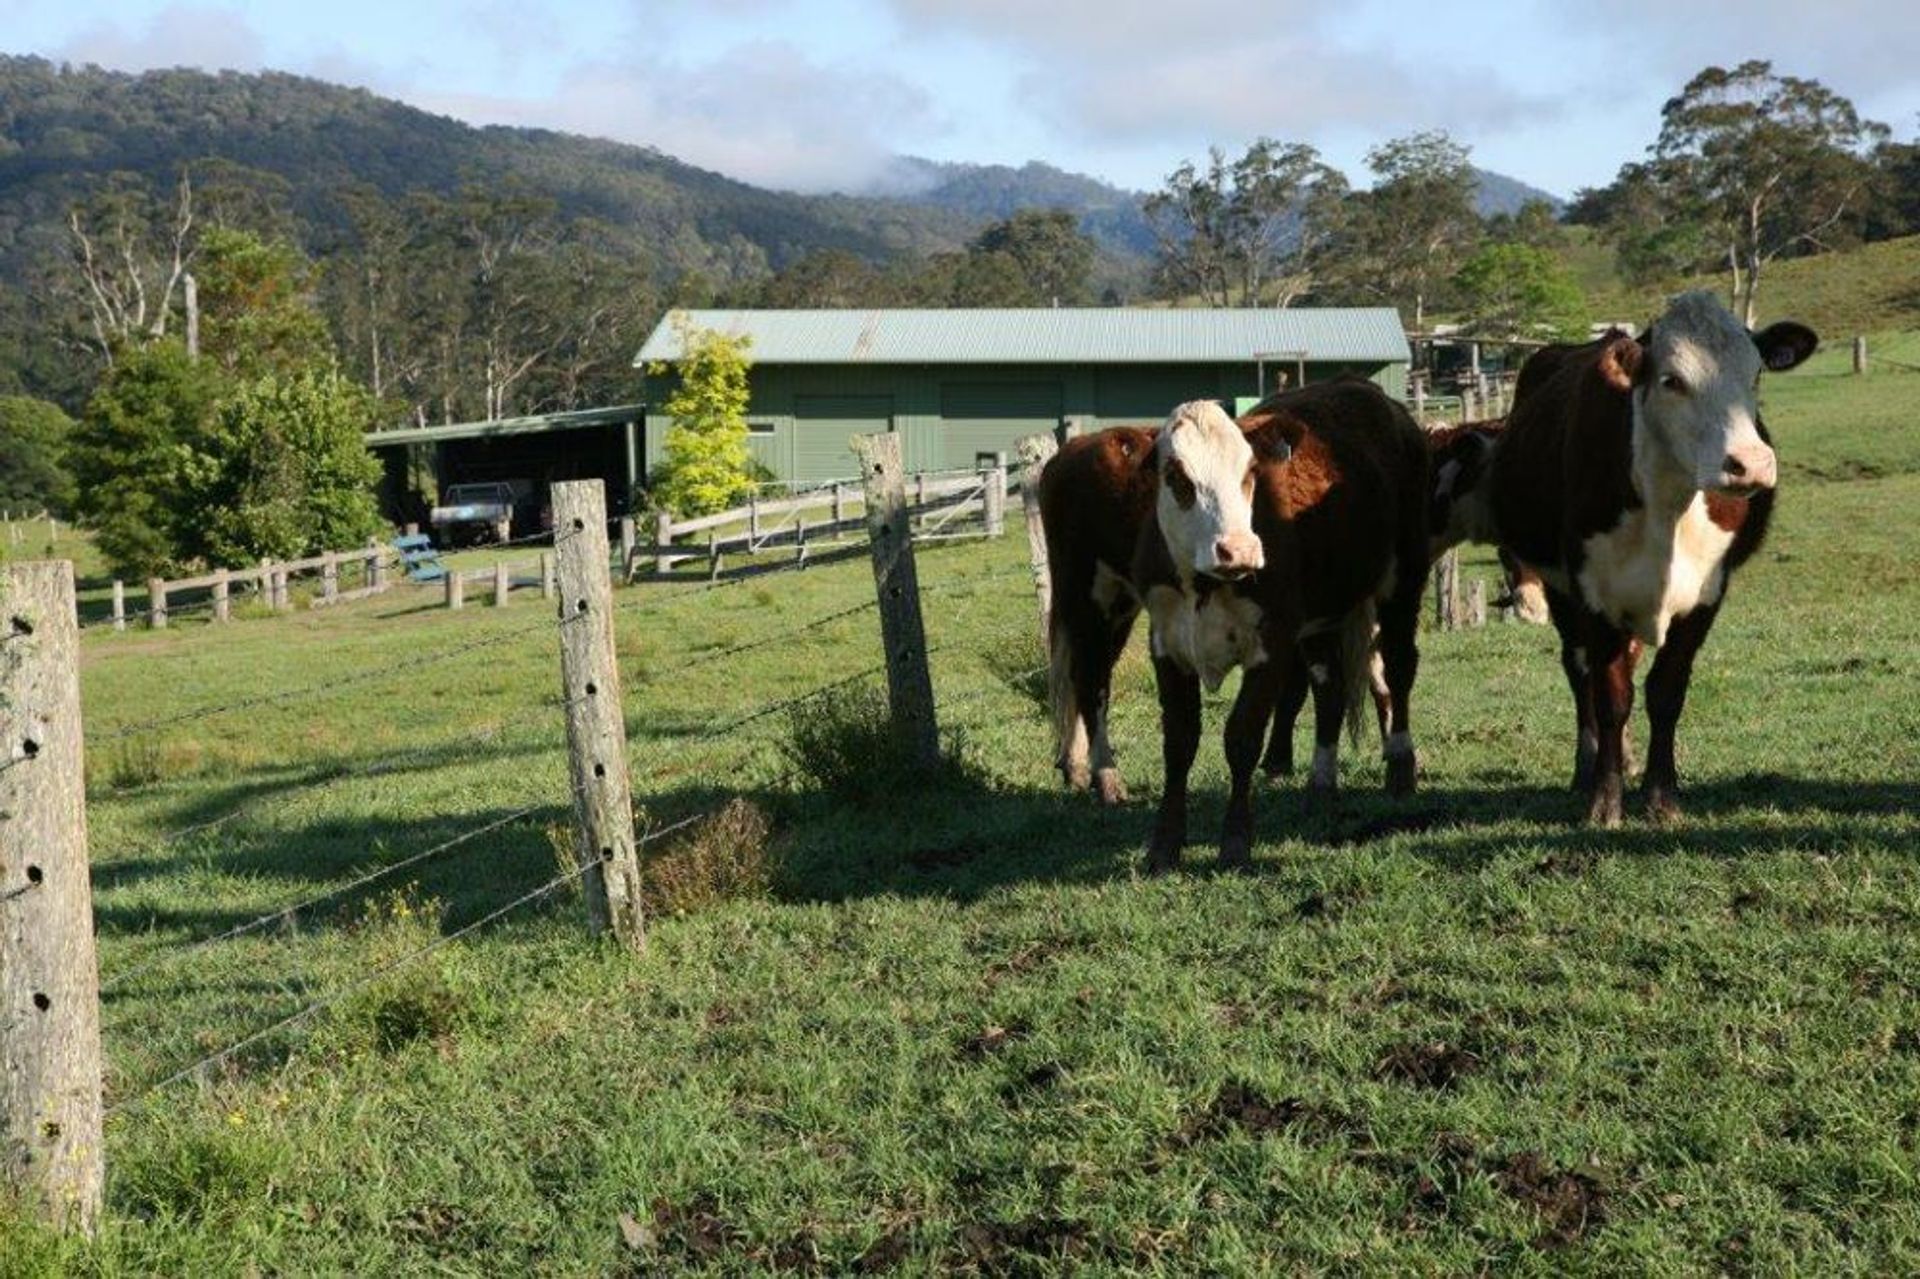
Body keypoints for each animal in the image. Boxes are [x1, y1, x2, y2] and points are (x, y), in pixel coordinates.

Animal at [1486, 290, 1817, 824]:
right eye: (1672, 380)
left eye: (1755, 374)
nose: (1751, 464)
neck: (1668, 505)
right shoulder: (1593, 594)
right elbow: (1609, 697)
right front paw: (1604, 801)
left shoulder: (1706, 595)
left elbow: (1665, 693)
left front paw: (1661, 796)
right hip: (1561, 593)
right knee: (1579, 673)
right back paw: (1588, 765)